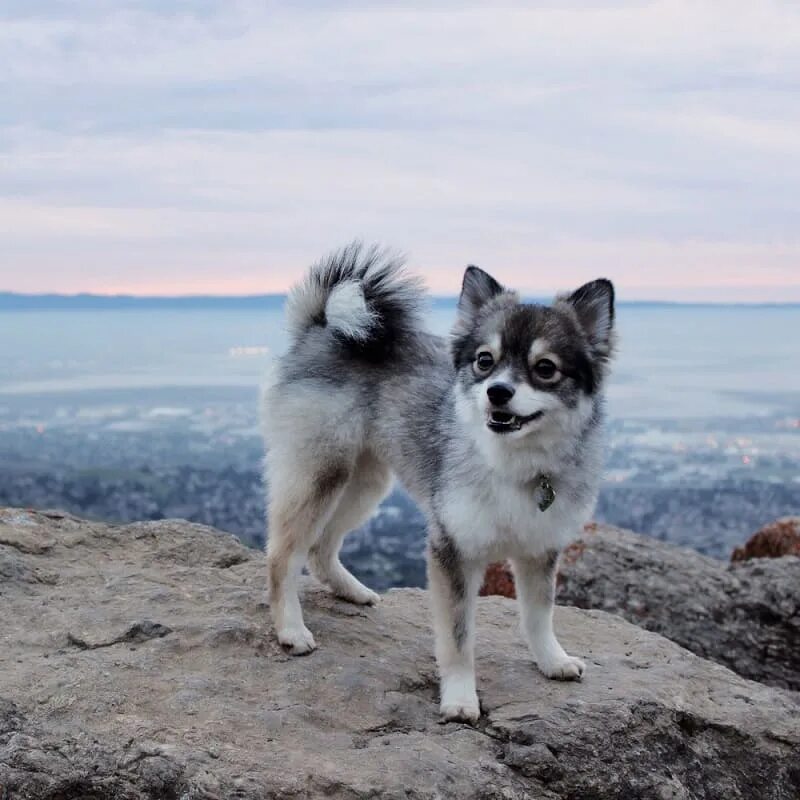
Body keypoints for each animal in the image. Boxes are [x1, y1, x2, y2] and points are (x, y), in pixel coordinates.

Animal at [262, 241, 612, 720]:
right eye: (485, 361)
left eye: (545, 368)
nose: (497, 392)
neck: (512, 461)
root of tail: (323, 329)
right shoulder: (454, 550)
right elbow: (458, 638)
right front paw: (460, 697)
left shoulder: (540, 549)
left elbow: (539, 615)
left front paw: (551, 660)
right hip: (319, 473)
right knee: (283, 555)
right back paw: (291, 630)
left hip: (365, 481)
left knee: (319, 548)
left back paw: (352, 592)